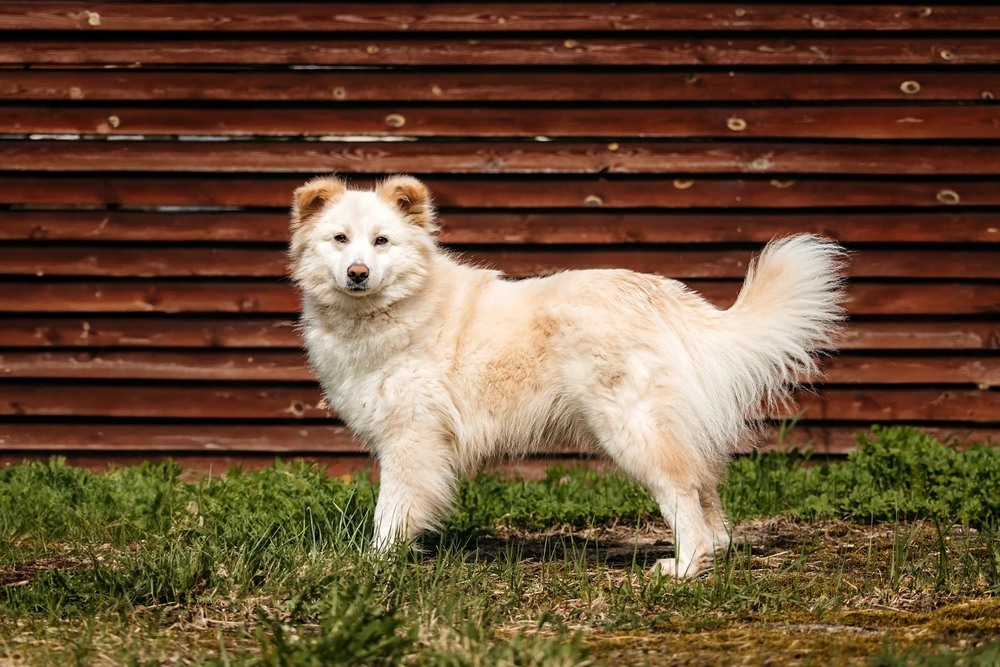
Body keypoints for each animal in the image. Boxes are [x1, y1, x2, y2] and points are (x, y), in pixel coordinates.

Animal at [290, 175, 844, 576]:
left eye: (382, 241)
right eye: (339, 239)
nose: (357, 273)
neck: (398, 307)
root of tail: (667, 298)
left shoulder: (411, 439)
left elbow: (390, 513)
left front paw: (372, 563)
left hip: (632, 428)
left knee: (683, 489)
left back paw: (684, 568)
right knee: (706, 486)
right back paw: (715, 553)